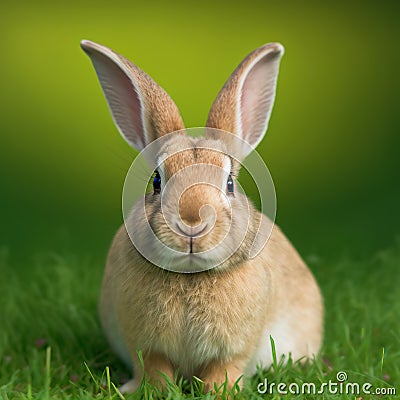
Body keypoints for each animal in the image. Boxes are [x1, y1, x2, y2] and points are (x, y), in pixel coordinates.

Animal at [82, 40, 324, 394]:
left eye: (230, 183)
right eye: (157, 180)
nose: (192, 224)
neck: (190, 275)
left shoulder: (234, 349)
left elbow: (223, 370)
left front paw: (221, 392)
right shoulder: (146, 345)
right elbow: (155, 370)